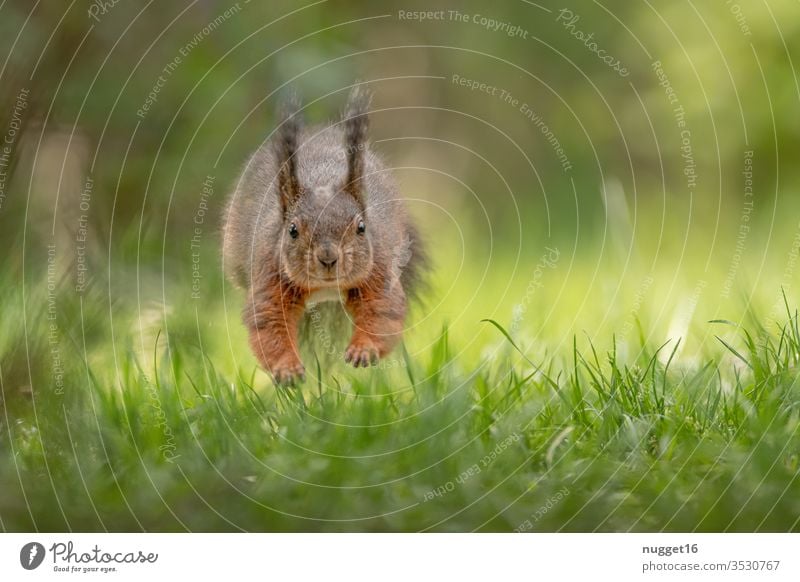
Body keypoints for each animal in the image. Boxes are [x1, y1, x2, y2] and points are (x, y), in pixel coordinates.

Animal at [220, 86, 424, 388]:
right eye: (292, 230)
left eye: (361, 227)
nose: (328, 258)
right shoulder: (269, 271)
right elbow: (270, 322)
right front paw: (287, 369)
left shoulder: (379, 268)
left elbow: (382, 310)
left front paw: (363, 350)